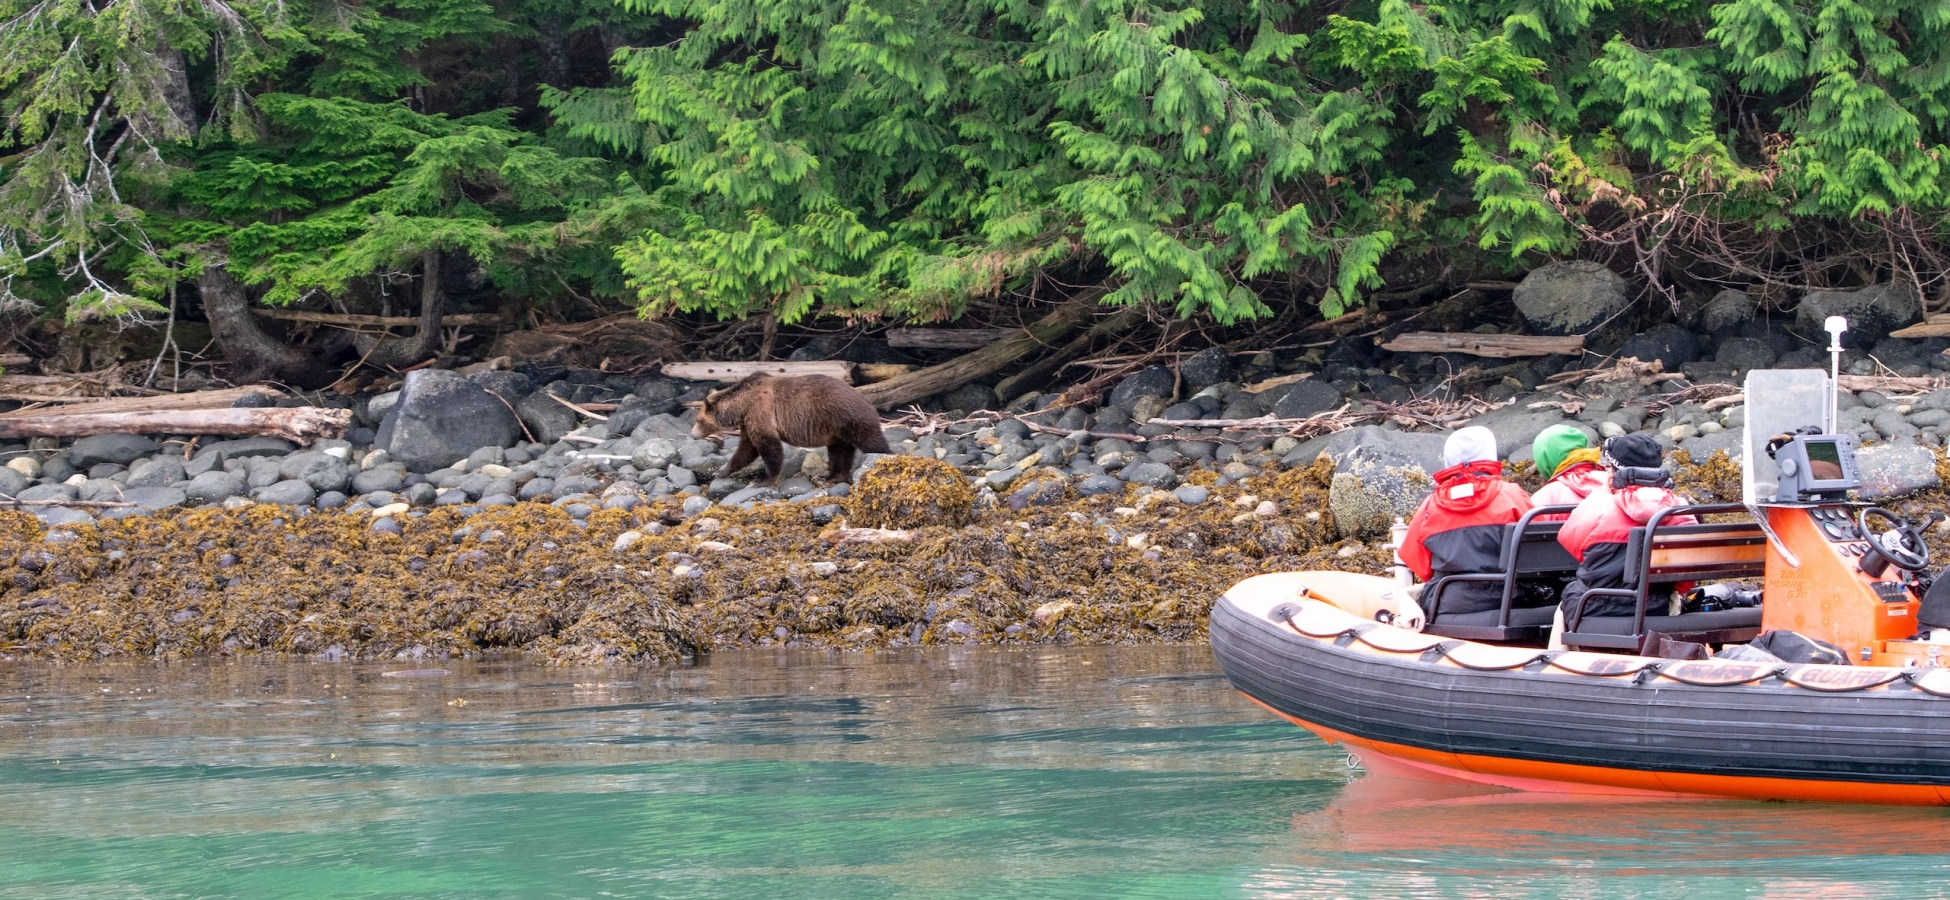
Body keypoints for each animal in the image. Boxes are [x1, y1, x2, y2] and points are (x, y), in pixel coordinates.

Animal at [689, 372, 892, 485]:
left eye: (698, 420)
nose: (692, 435)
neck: (741, 406)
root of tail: (868, 401)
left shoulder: (759, 412)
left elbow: (768, 446)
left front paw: (763, 480)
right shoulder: (748, 422)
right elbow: (746, 449)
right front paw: (721, 471)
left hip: (848, 417)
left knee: (871, 441)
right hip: (837, 429)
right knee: (840, 451)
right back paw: (832, 477)